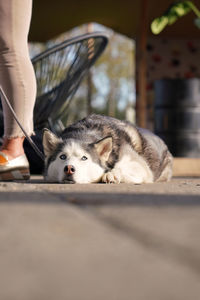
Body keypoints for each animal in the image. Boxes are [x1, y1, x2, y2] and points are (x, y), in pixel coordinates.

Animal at [42, 114, 173, 183]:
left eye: (84, 158)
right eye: (62, 157)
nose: (69, 169)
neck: (84, 132)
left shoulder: (141, 167)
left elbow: (123, 167)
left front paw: (112, 174)